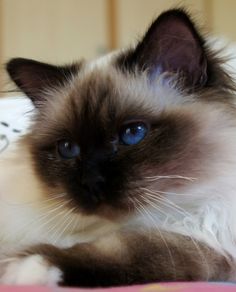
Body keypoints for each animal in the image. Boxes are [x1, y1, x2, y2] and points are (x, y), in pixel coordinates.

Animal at [0, 9, 236, 288]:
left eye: (133, 133)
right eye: (68, 148)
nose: (92, 182)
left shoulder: (212, 235)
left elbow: (137, 251)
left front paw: (26, 266)